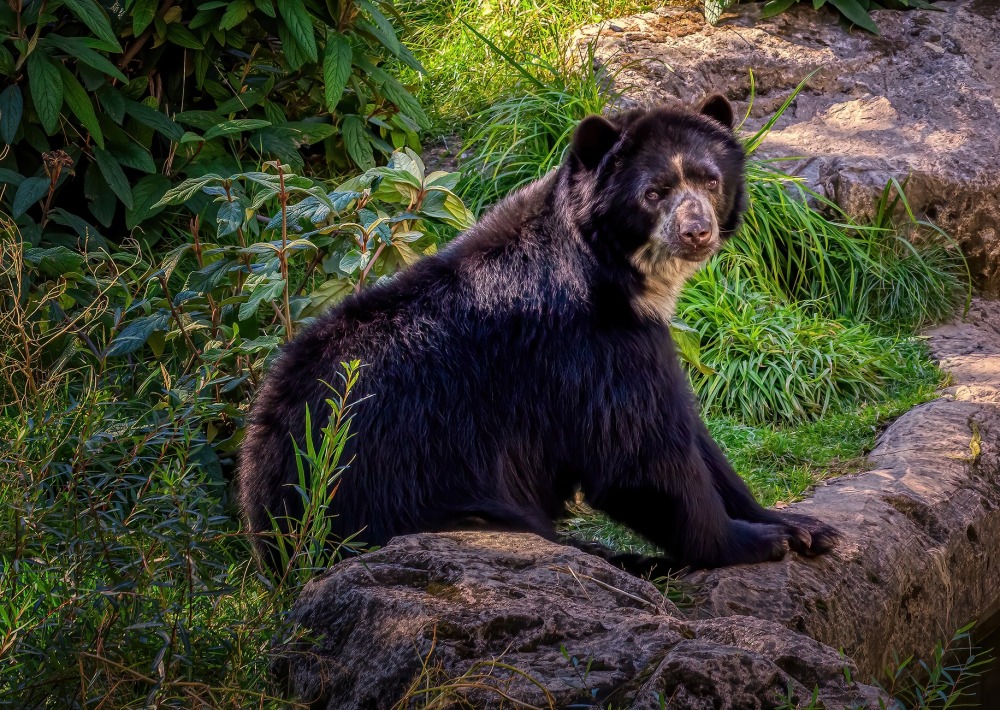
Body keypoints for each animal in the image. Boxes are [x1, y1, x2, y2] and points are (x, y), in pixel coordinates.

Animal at [238, 96, 840, 572]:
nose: (697, 231)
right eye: (655, 192)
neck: (617, 277)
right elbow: (639, 453)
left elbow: (691, 433)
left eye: (710, 180)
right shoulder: (585, 345)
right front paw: (756, 540)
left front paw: (803, 524)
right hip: (407, 493)